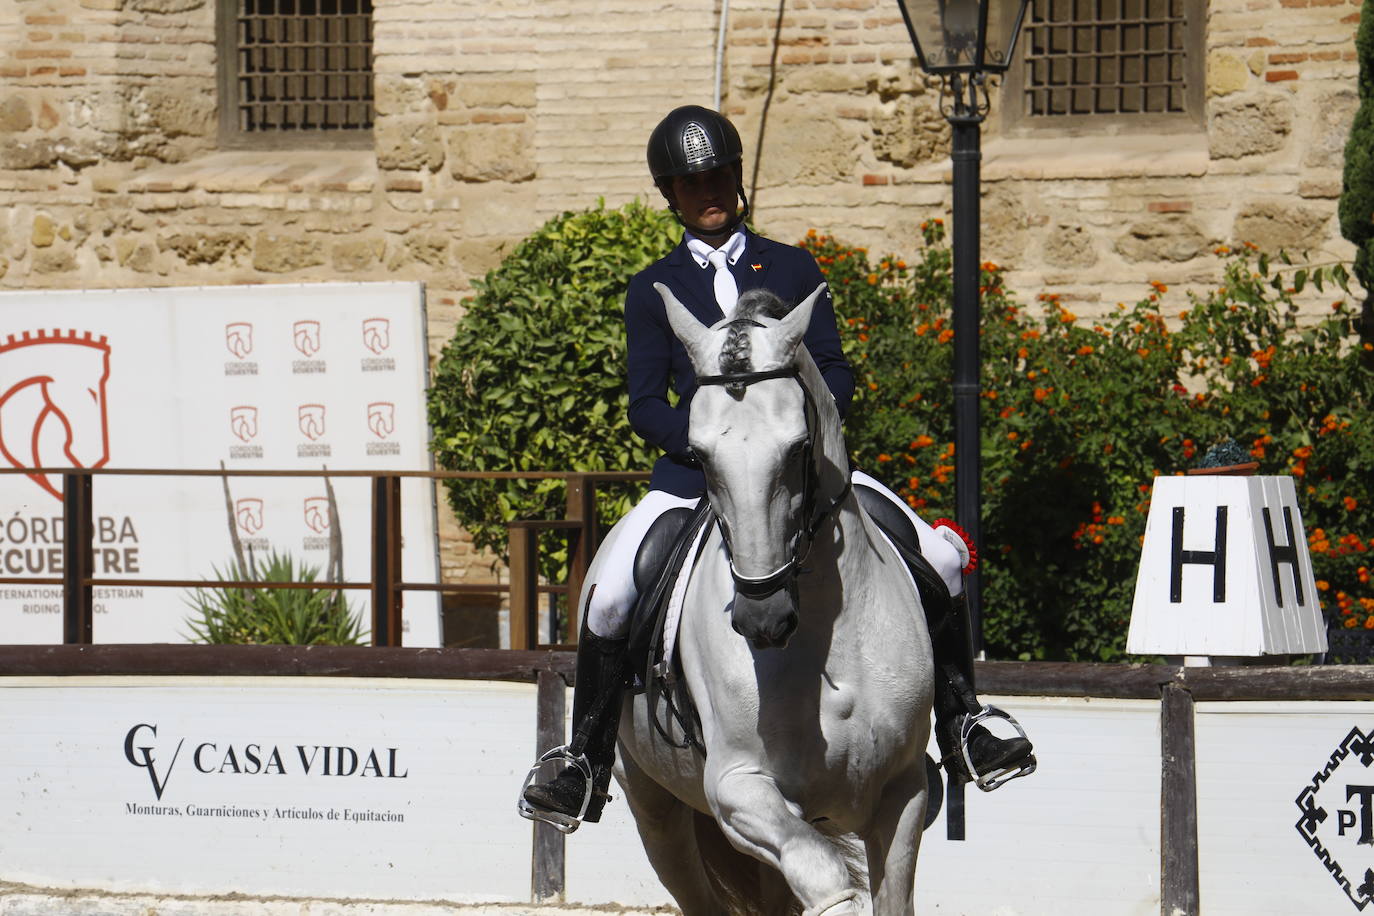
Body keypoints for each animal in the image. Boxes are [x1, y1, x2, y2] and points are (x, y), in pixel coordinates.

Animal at [610, 282, 934, 911]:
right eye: (698, 455)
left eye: (799, 448)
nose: (763, 618)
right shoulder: (739, 791)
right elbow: (826, 879)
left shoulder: (903, 790)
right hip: (654, 807)